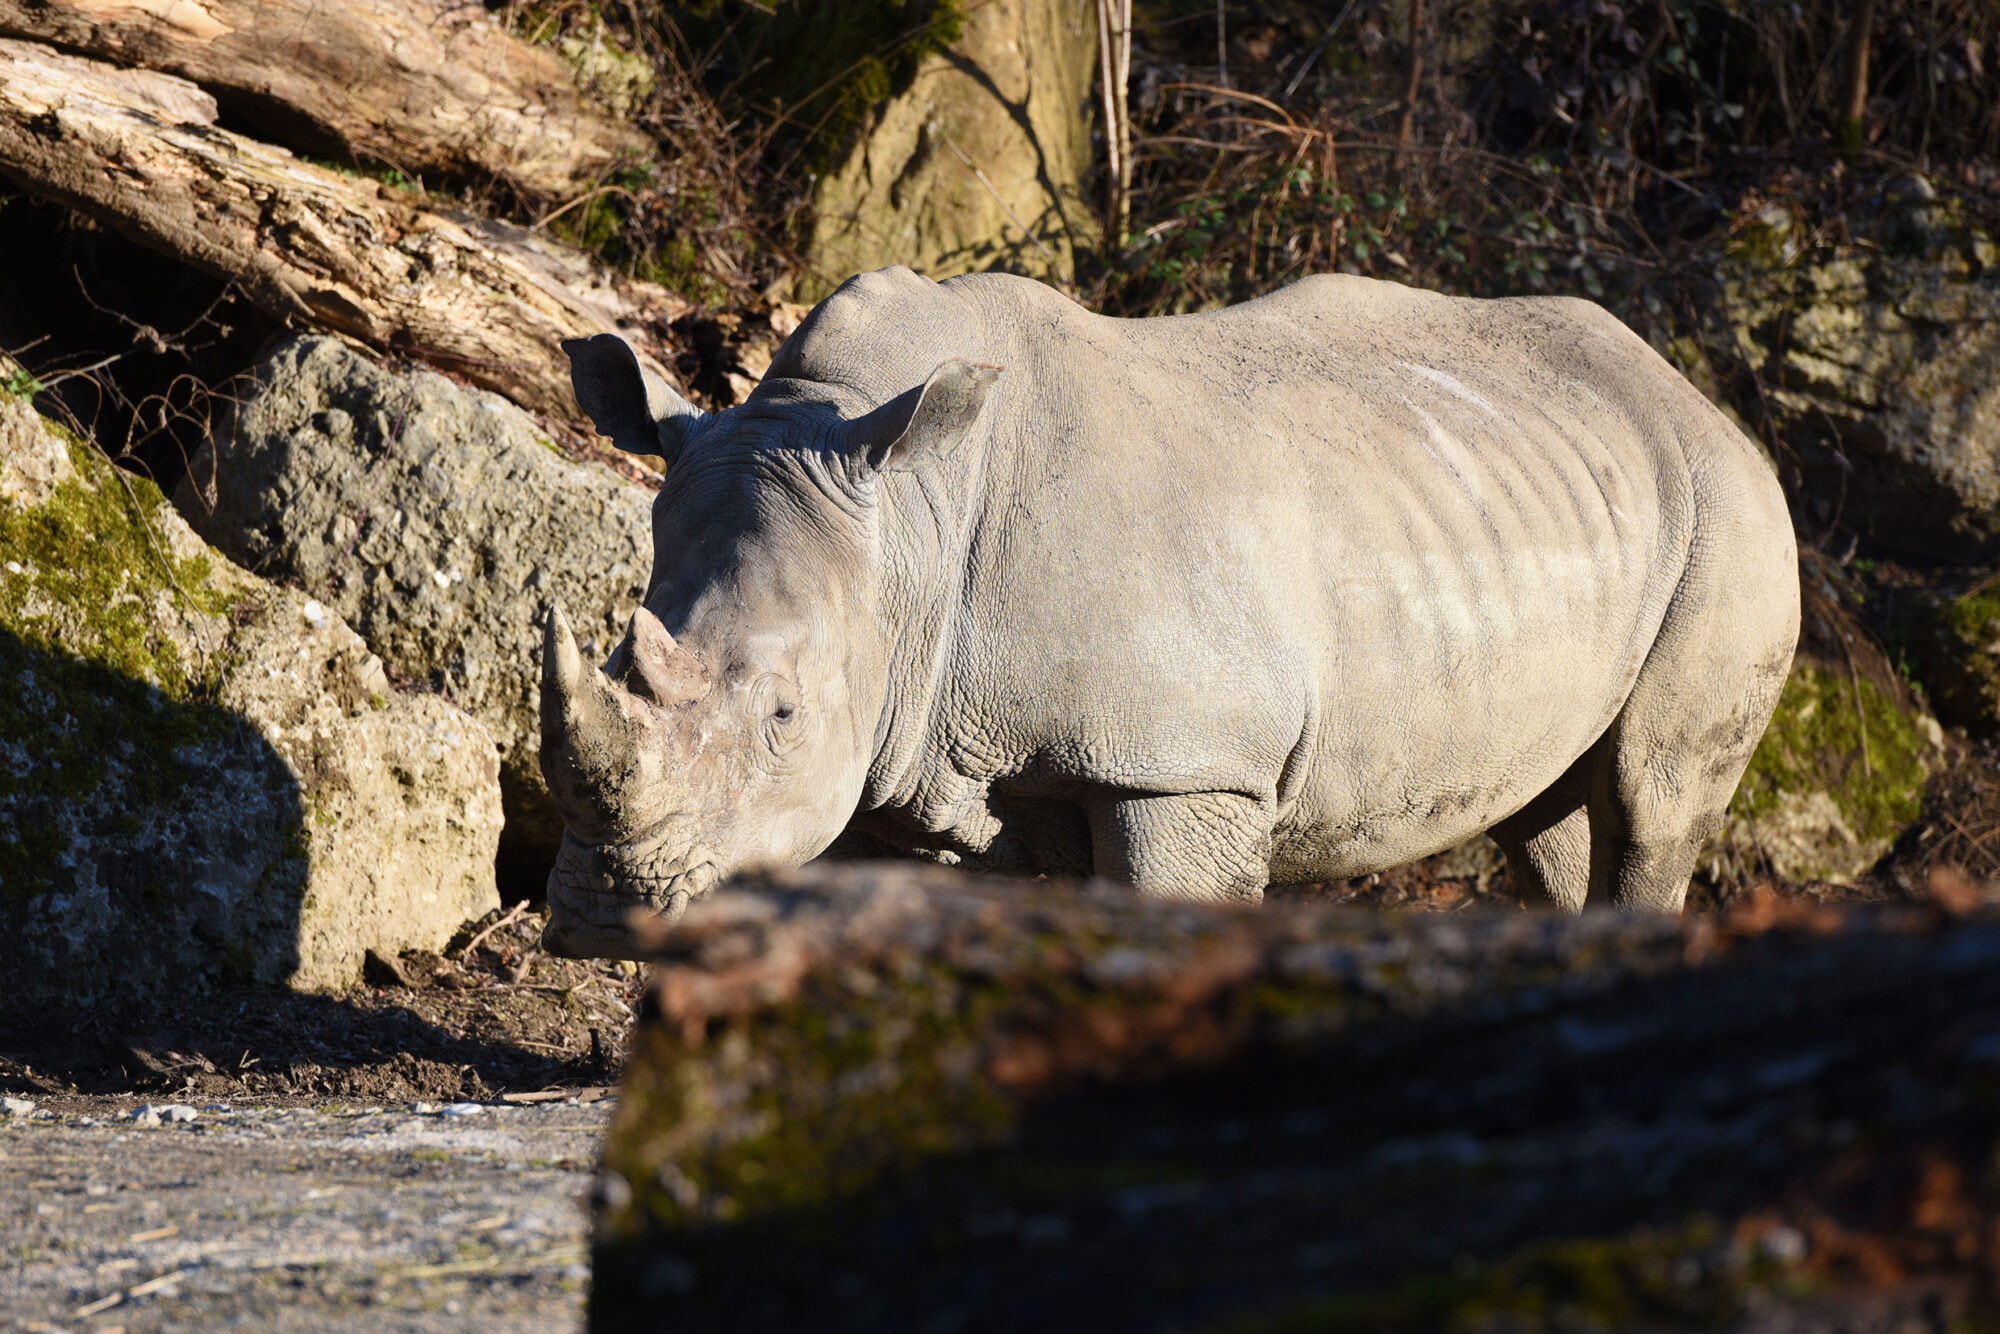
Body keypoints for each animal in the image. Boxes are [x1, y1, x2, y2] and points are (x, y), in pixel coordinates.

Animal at [540, 266, 1799, 957]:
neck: (906, 527)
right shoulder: (914, 743)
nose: (604, 914)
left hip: (1730, 516)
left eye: (783, 718)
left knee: (1649, 800)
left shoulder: (1185, 764)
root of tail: (1695, 396)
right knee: (1548, 815)